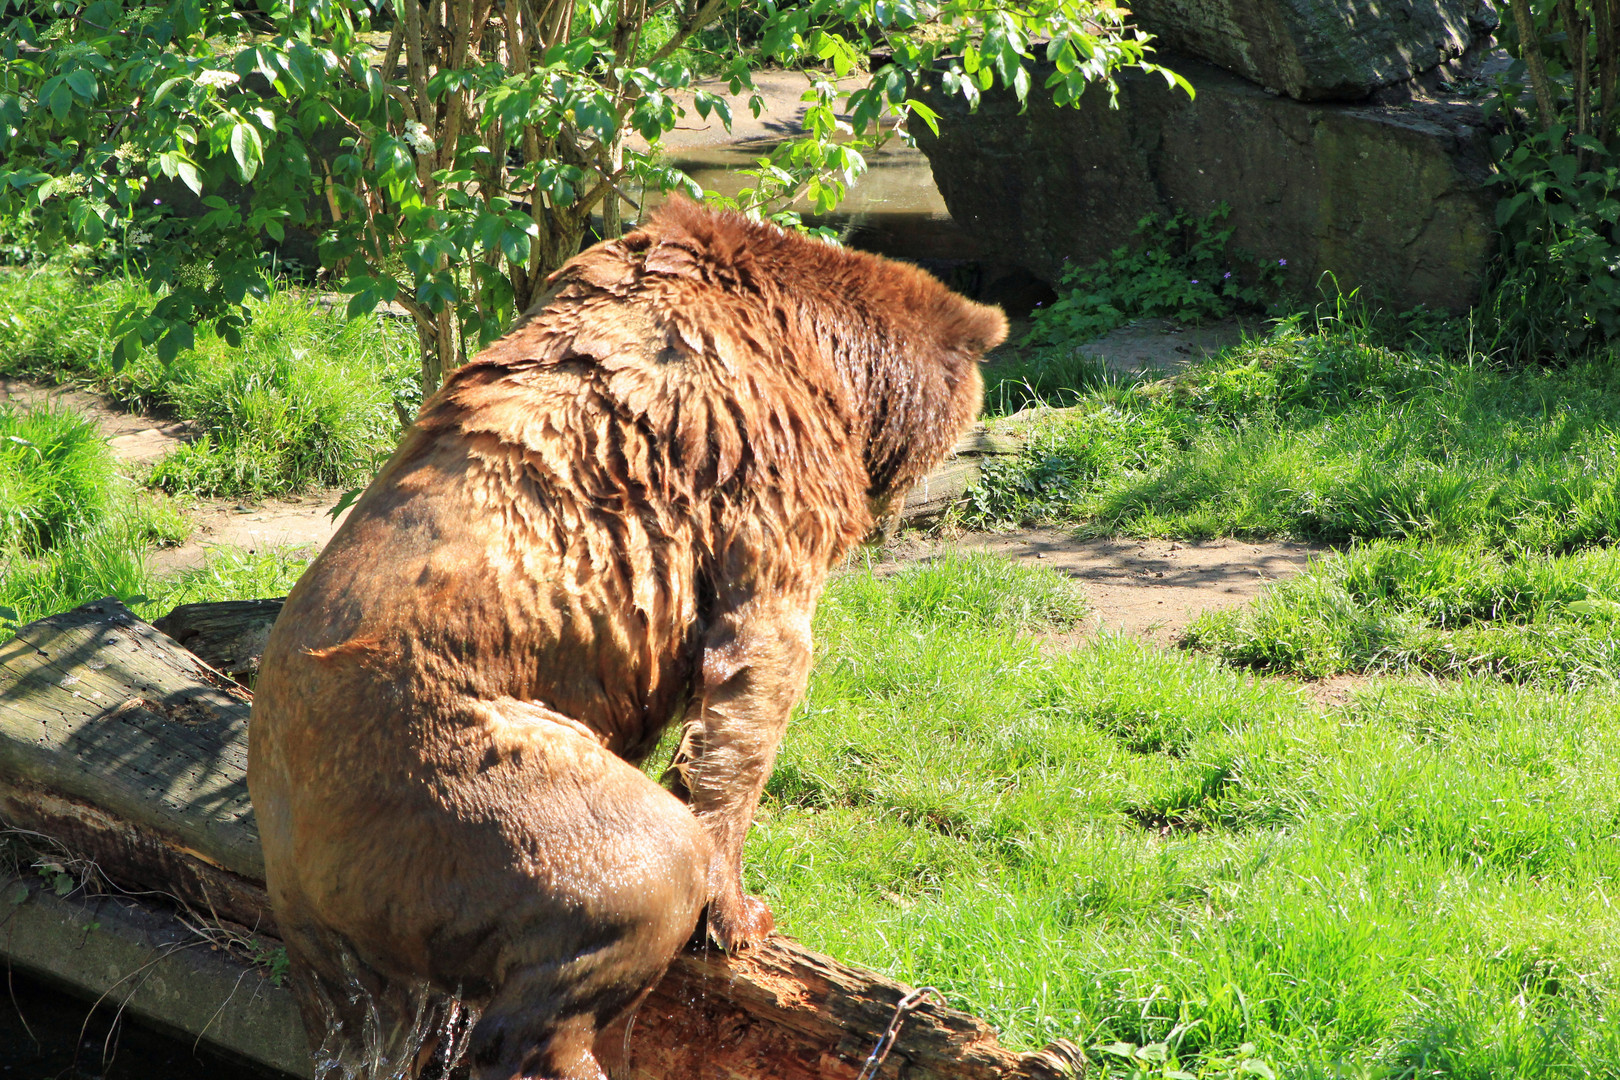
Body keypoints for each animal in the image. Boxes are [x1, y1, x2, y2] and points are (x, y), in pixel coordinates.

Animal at [246, 200, 1004, 1080]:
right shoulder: (764, 467)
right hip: (452, 778)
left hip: (349, 909)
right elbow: (758, 672)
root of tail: (291, 860)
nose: (911, 496)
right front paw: (742, 914)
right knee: (632, 871)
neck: (827, 359)